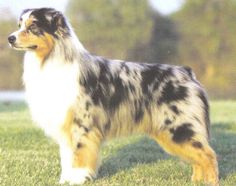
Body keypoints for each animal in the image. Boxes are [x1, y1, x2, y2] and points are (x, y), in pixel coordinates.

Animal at [8, 7, 219, 186]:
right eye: (20, 25)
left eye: (33, 26)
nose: (10, 38)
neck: (51, 58)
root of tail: (186, 72)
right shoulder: (66, 126)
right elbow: (67, 157)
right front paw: (66, 180)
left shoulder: (81, 125)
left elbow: (79, 155)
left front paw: (77, 179)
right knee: (199, 157)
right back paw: (197, 181)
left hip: (179, 127)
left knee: (209, 155)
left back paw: (210, 182)